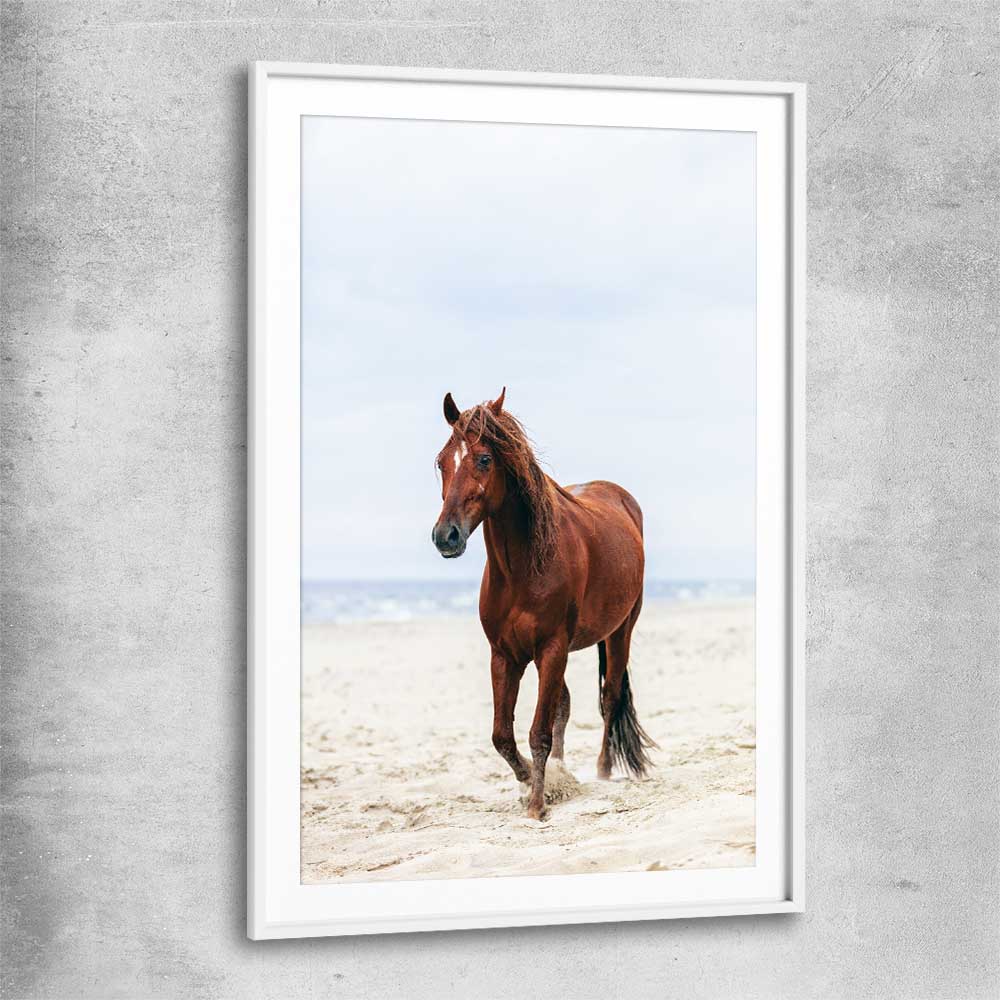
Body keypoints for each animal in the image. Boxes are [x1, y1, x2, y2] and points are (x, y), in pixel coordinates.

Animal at [431, 388, 656, 821]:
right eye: (441, 461)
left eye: (484, 459)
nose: (445, 536)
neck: (523, 569)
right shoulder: (505, 655)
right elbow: (503, 735)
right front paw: (535, 781)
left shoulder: (551, 648)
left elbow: (539, 732)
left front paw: (538, 803)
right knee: (565, 705)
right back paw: (564, 769)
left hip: (620, 631)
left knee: (609, 698)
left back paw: (603, 771)